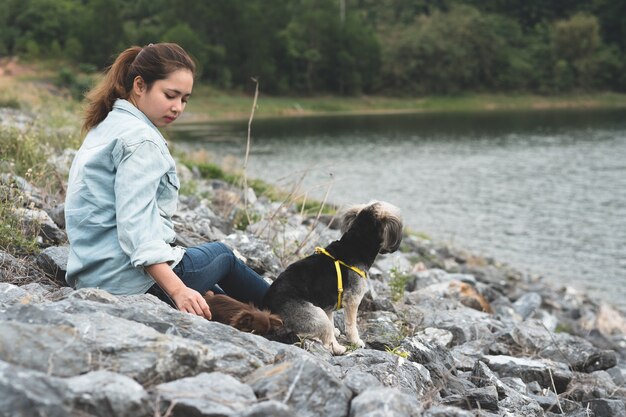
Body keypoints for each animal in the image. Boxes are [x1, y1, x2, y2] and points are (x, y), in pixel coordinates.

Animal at [260, 202, 402, 354]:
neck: (356, 244)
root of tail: (268, 312)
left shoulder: (328, 303)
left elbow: (331, 318)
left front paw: (336, 331)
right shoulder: (353, 300)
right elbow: (351, 325)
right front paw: (356, 341)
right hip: (314, 314)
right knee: (325, 340)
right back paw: (339, 348)